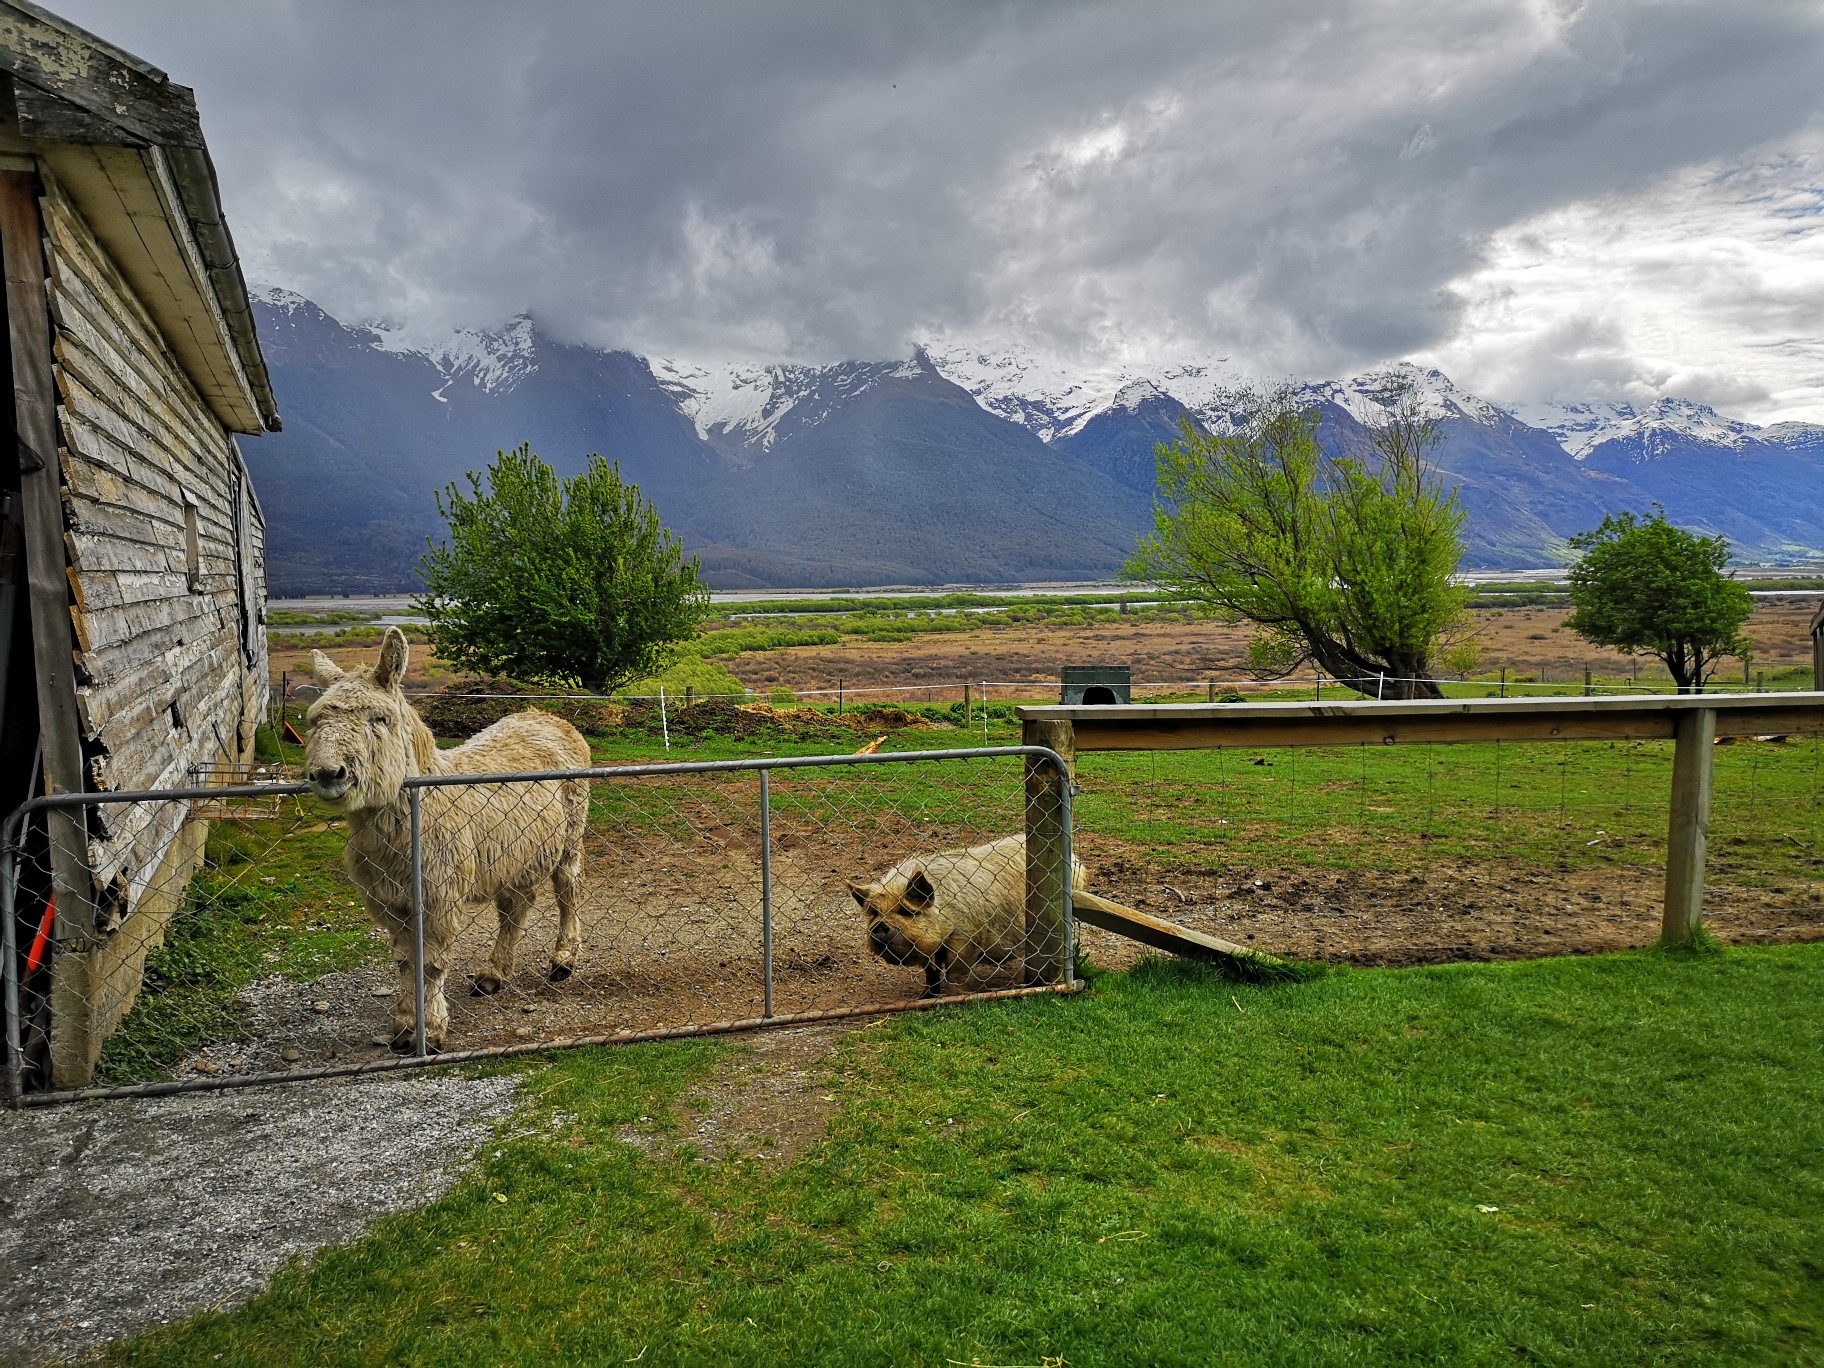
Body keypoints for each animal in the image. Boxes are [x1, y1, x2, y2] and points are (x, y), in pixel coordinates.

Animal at [849, 835, 1087, 999]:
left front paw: (954, 996)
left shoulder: (966, 937)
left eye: (906, 912)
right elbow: (931, 972)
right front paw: (925, 997)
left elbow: (955, 970)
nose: (879, 927)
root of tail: (1077, 860)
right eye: (874, 913)